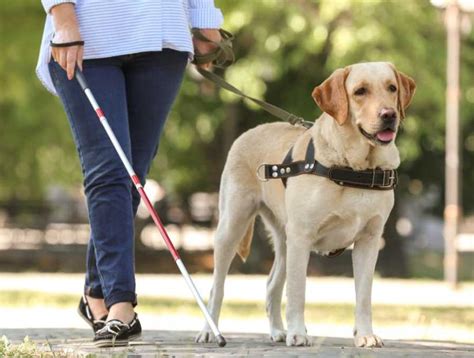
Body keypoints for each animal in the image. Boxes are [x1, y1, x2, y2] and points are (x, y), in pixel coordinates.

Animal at [195, 61, 414, 346]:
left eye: (392, 88)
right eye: (360, 91)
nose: (389, 114)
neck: (353, 169)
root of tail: (250, 131)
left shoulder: (369, 240)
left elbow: (364, 296)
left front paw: (365, 334)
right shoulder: (302, 235)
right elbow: (298, 291)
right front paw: (298, 332)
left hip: (284, 241)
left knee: (271, 285)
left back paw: (277, 331)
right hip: (232, 226)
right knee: (217, 287)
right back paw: (210, 331)